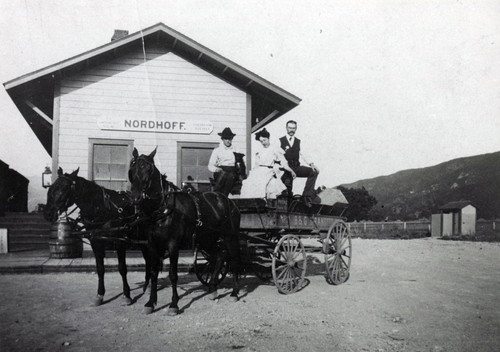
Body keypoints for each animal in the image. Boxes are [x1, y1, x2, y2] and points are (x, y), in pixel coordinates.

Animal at [44, 168, 148, 306]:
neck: (103, 209)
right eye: (51, 187)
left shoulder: (120, 243)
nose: (48, 214)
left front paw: (126, 295)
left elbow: (122, 268)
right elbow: (100, 269)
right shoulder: (96, 242)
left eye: (64, 188)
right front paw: (100, 295)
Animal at [129, 147, 242, 314]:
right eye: (132, 168)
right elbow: (154, 272)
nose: (135, 197)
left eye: (149, 169)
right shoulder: (152, 244)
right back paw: (213, 289)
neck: (163, 207)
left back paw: (234, 292)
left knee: (233, 260)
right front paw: (150, 302)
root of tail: (229, 201)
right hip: (208, 238)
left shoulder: (173, 244)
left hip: (230, 237)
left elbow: (173, 274)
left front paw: (174, 304)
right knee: (219, 257)